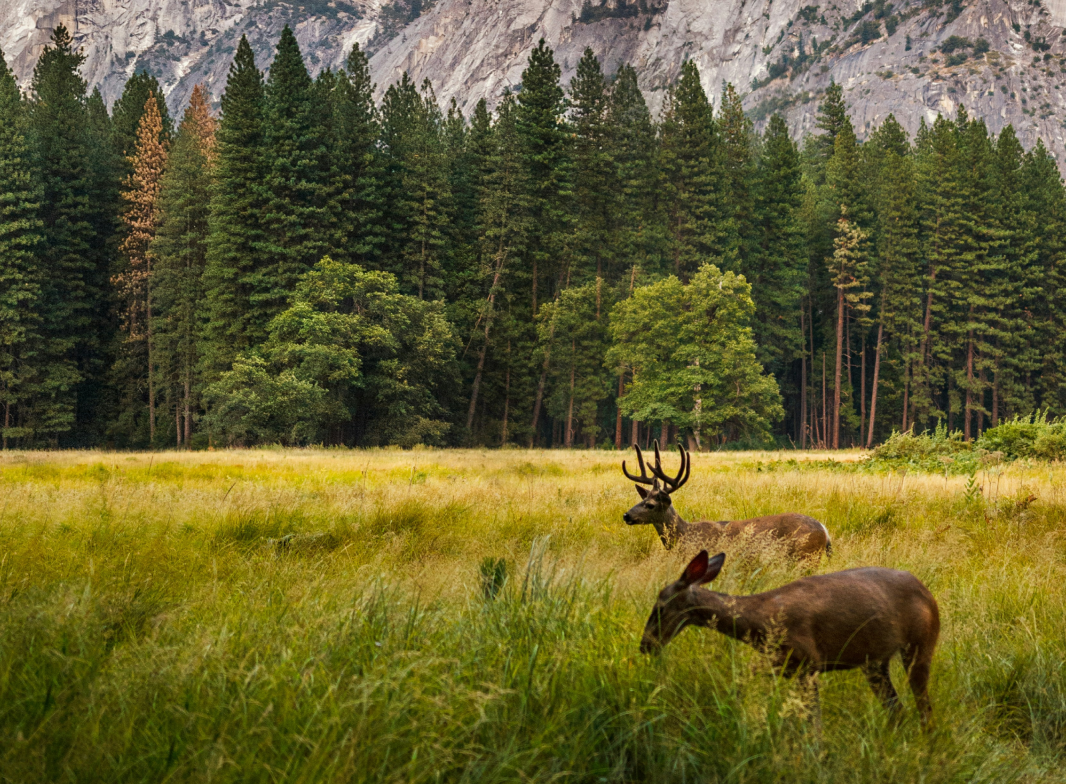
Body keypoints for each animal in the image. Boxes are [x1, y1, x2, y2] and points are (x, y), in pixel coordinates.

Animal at [618, 443, 831, 563]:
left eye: (650, 505)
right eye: (642, 499)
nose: (626, 515)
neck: (685, 536)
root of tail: (825, 529)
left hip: (806, 556)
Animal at [635, 550, 938, 725]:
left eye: (659, 608)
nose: (645, 646)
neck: (761, 622)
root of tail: (928, 594)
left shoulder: (809, 662)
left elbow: (813, 722)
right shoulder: (779, 663)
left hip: (921, 645)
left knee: (924, 708)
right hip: (874, 662)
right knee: (897, 709)